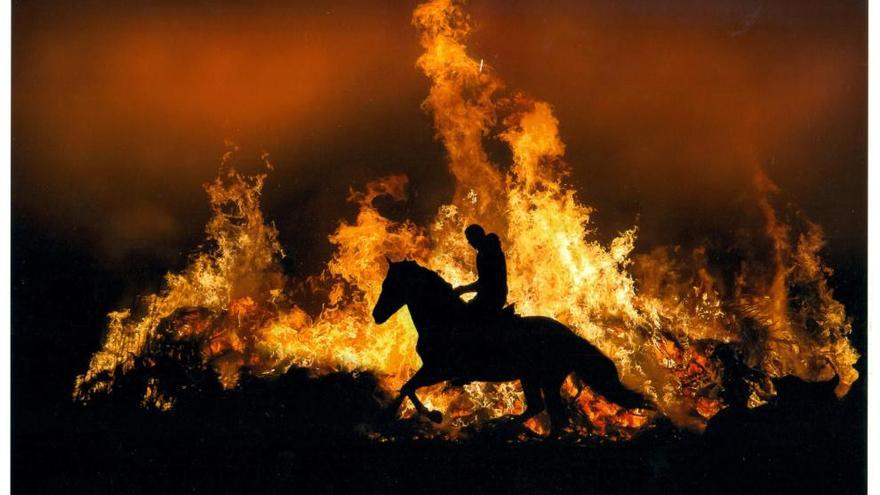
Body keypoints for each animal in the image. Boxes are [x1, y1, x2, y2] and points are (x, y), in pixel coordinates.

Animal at [368, 258, 648, 436]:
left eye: (390, 285)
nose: (376, 315)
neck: (445, 318)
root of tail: (570, 336)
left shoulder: (440, 370)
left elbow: (409, 387)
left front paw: (429, 415)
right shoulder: (434, 369)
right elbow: (407, 387)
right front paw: (394, 414)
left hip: (545, 379)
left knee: (551, 414)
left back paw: (506, 427)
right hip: (532, 378)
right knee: (542, 410)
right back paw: (506, 426)